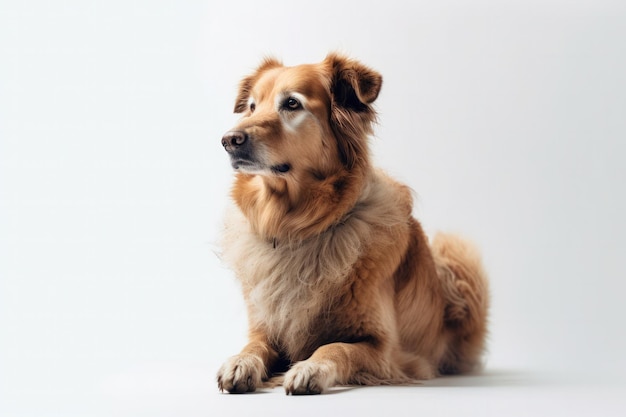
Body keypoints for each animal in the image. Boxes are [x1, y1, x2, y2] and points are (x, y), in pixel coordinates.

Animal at [214, 52, 488, 394]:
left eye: (291, 103)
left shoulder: (383, 349)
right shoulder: (265, 328)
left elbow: (335, 347)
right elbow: (254, 346)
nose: (228, 140)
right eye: (252, 106)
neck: (297, 226)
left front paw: (309, 369)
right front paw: (239, 363)